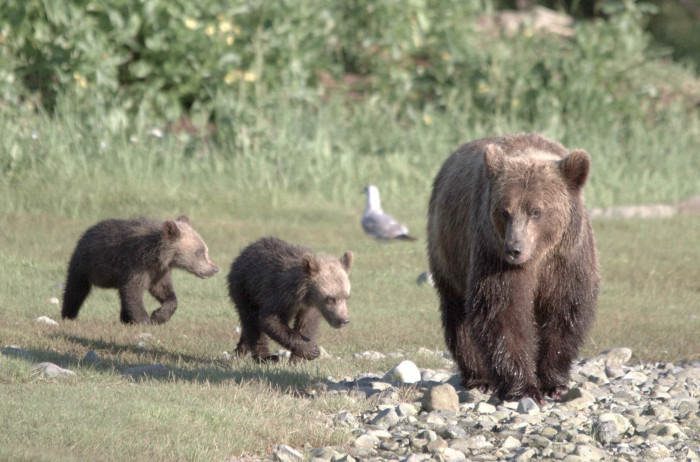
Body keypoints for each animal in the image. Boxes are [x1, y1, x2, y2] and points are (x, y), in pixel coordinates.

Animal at [61, 217, 217, 324]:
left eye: (205, 250)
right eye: (199, 252)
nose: (215, 269)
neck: (156, 257)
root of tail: (88, 231)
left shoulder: (159, 272)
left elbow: (164, 291)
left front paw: (158, 316)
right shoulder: (135, 265)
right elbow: (133, 292)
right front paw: (145, 320)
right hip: (84, 264)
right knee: (76, 290)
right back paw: (69, 315)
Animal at [430, 132, 600, 402]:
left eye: (536, 211)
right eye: (504, 211)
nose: (514, 249)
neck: (539, 256)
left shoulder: (568, 258)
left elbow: (564, 310)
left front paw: (555, 383)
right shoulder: (493, 254)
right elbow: (503, 312)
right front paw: (523, 388)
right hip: (449, 252)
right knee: (458, 312)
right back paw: (479, 378)